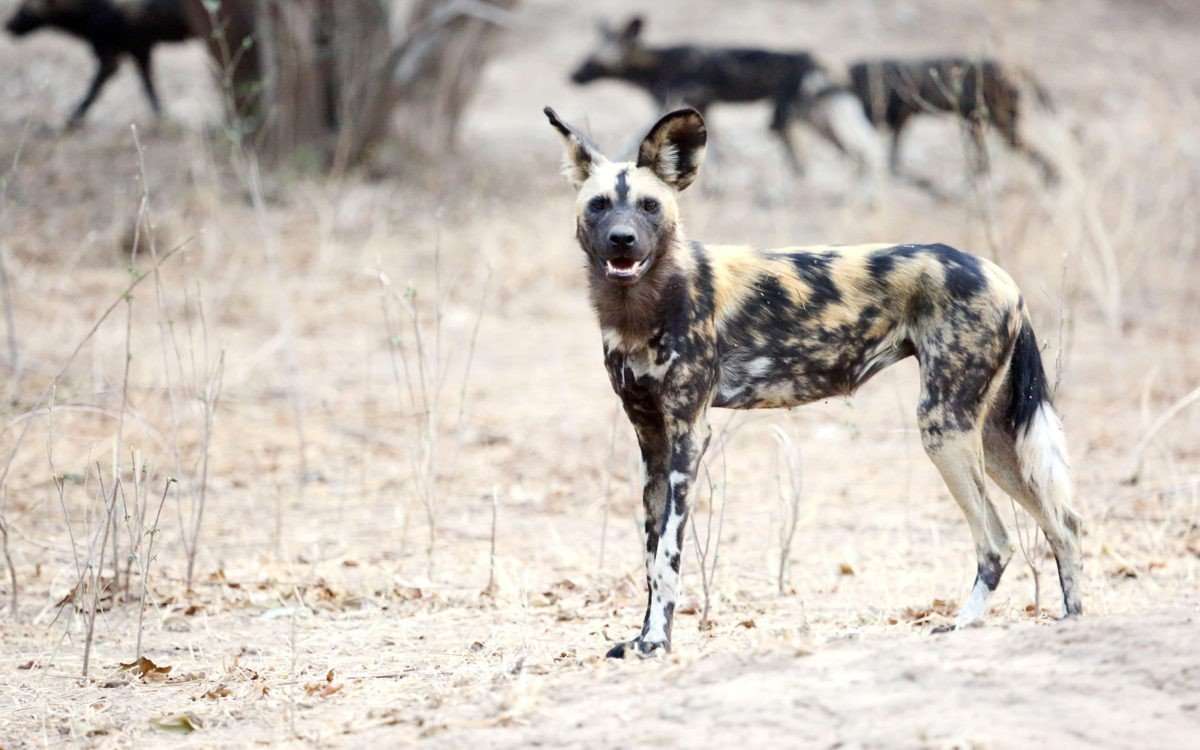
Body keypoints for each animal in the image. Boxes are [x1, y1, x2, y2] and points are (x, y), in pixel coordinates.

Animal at [4, 0, 194, 126]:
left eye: (25, 7)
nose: (8, 24)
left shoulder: (110, 54)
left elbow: (95, 86)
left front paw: (75, 116)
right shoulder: (139, 48)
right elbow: (148, 83)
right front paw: (161, 114)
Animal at [830, 56, 1056, 183]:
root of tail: (1013, 71)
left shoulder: (901, 116)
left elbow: (893, 147)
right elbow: (892, 148)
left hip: (999, 123)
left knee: (1022, 150)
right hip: (981, 123)